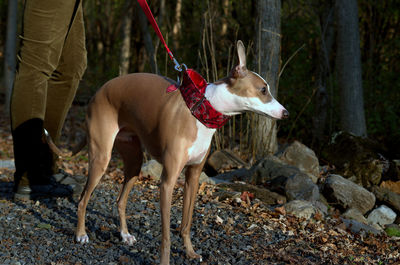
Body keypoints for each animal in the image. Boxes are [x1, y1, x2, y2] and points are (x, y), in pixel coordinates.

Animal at [52, 40, 288, 262]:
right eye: (263, 89)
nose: (286, 113)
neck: (200, 109)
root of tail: (96, 94)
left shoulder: (193, 177)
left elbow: (186, 223)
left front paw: (190, 252)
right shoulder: (167, 182)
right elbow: (165, 236)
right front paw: (165, 260)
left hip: (134, 162)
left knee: (120, 200)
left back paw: (125, 234)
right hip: (101, 158)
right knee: (83, 200)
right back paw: (81, 234)